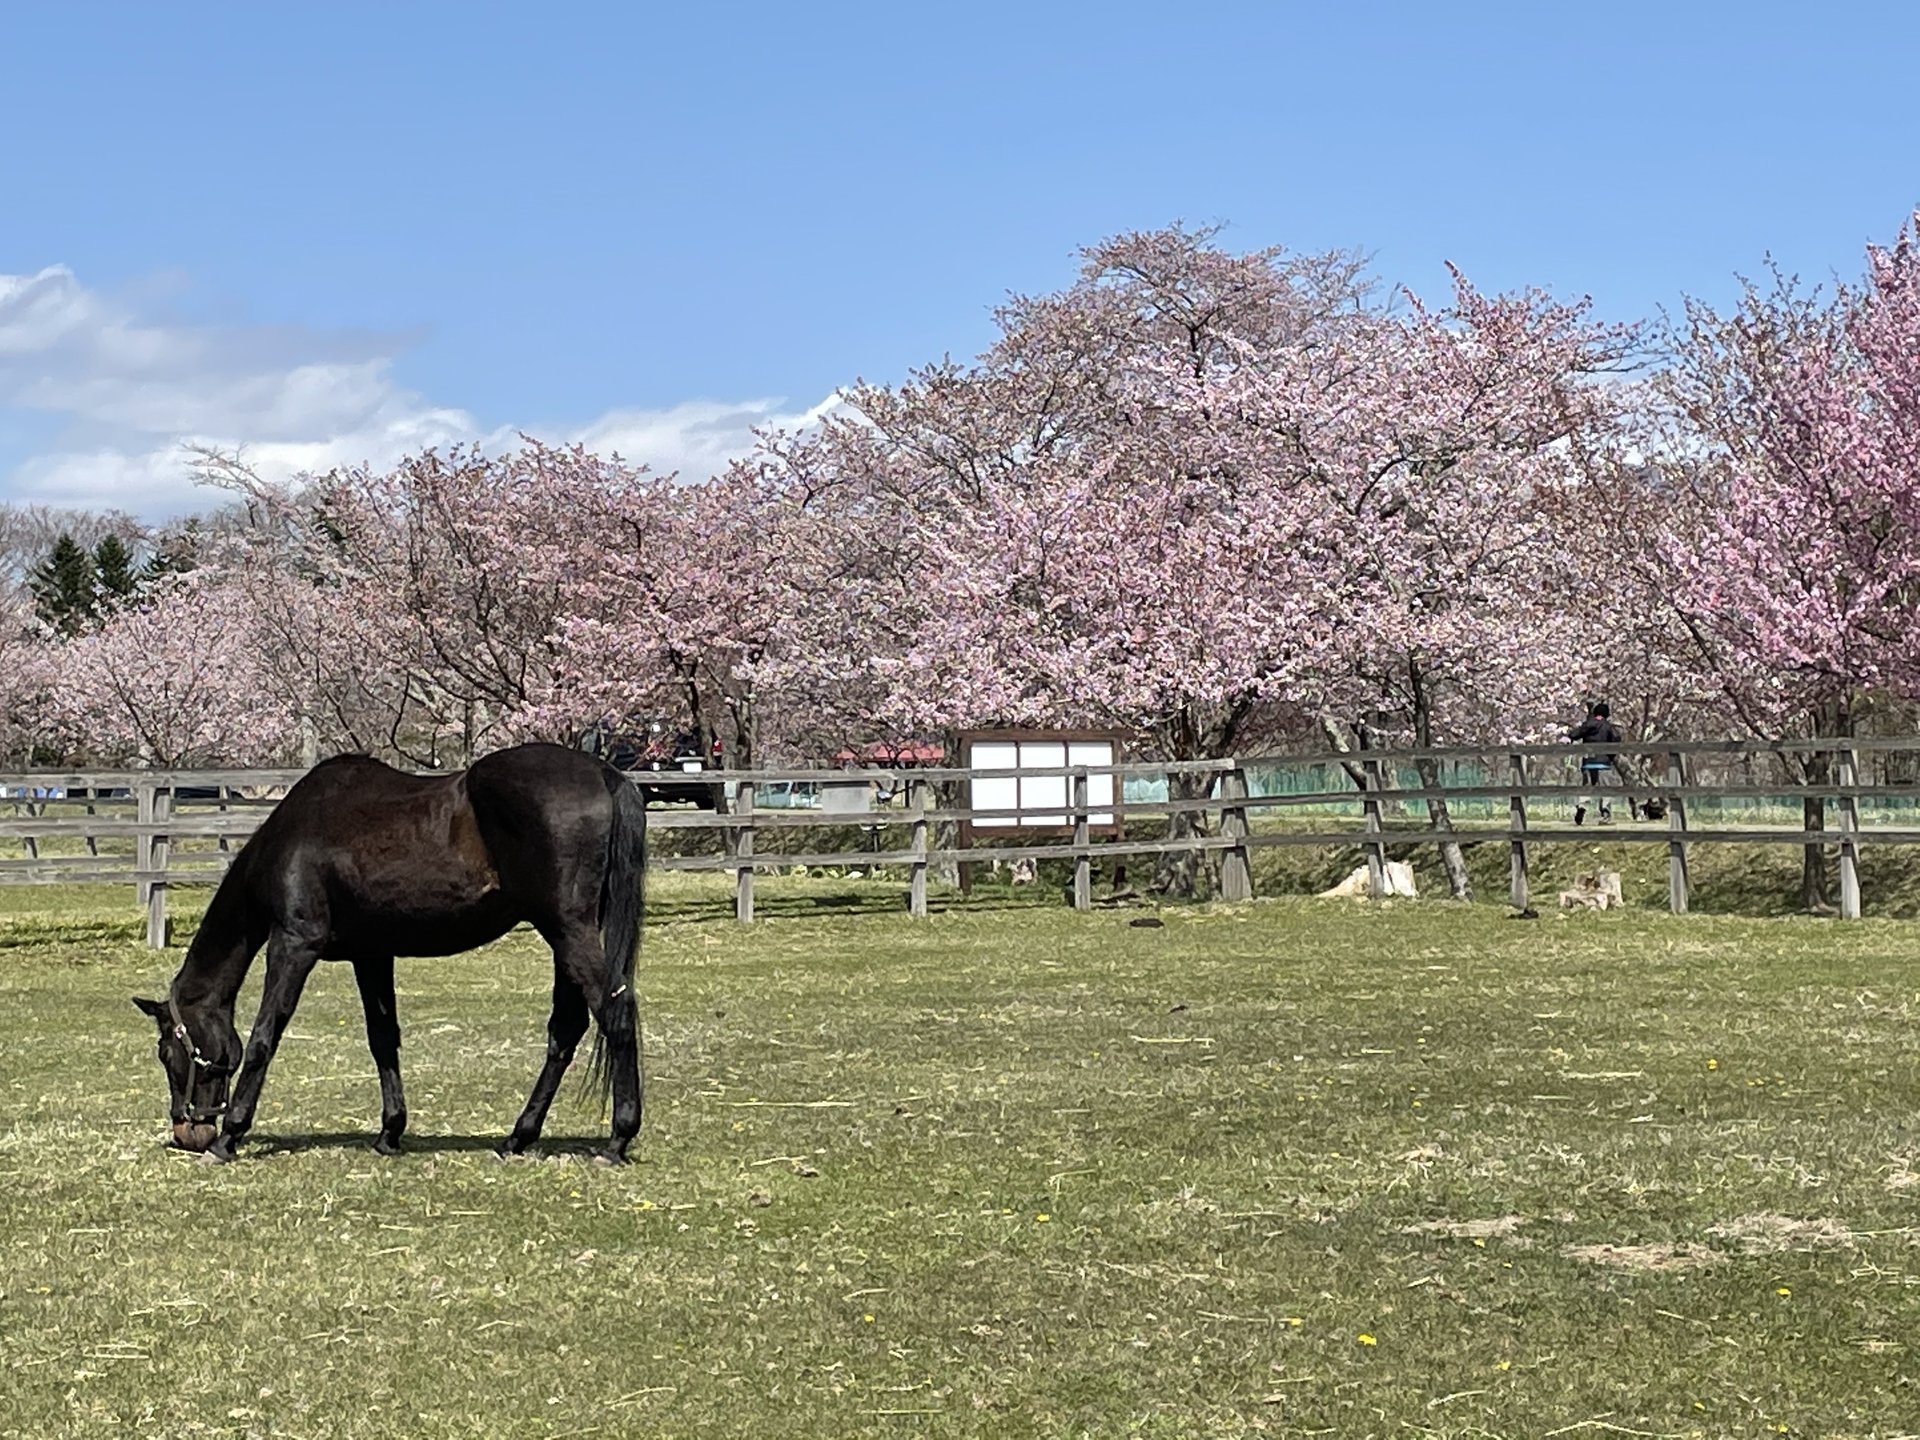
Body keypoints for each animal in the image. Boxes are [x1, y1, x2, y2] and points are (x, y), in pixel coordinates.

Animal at [133, 744, 652, 1159]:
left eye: (167, 1052)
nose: (187, 1132)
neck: (292, 837)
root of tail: (604, 774)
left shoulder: (294, 945)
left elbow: (265, 1035)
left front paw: (230, 1137)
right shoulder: (372, 955)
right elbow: (382, 1038)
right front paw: (390, 1132)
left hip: (568, 930)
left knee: (614, 1010)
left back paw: (618, 1138)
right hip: (566, 935)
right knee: (566, 1029)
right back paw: (519, 1137)